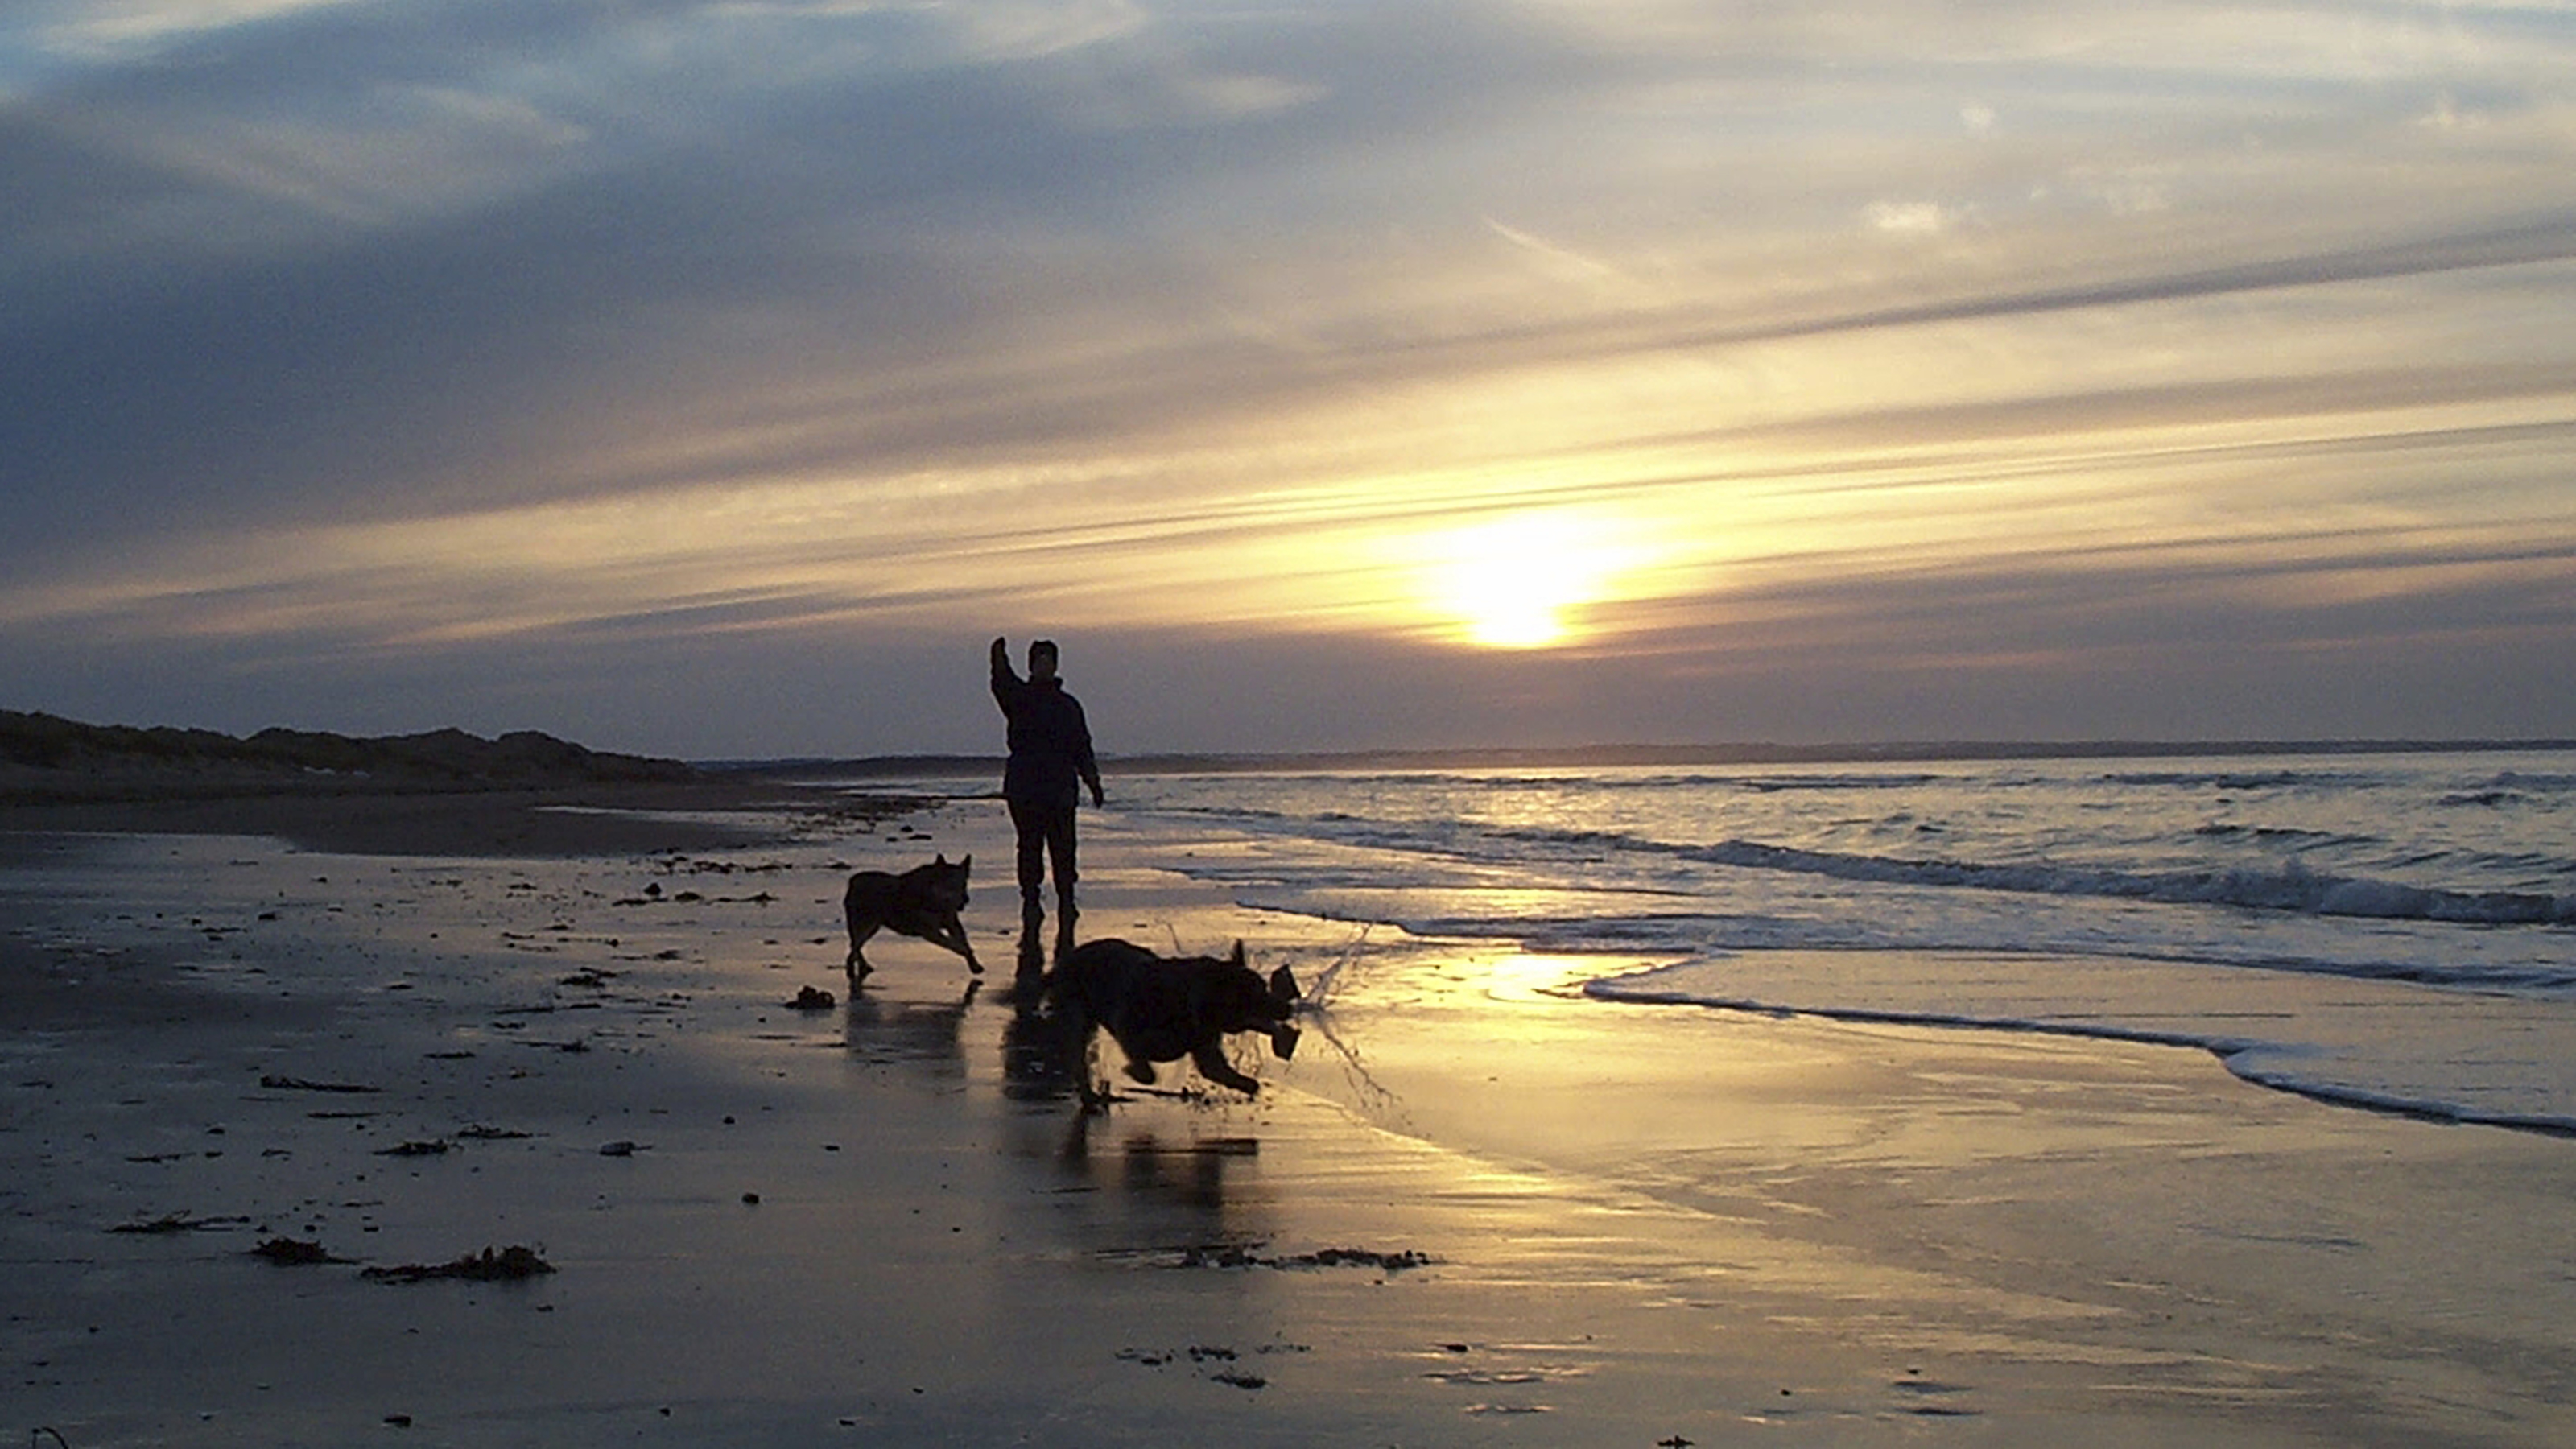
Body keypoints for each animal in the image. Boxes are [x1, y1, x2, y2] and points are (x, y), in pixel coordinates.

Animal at [844, 845, 973, 980]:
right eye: (951, 885)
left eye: (964, 884)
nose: (966, 899)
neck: (935, 898)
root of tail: (853, 881)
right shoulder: (929, 932)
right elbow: (953, 944)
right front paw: (963, 950)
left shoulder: (953, 924)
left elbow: (963, 941)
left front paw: (975, 965)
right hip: (865, 924)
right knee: (855, 945)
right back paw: (853, 967)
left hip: (873, 927)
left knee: (856, 945)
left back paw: (862, 966)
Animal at [1046, 928, 1298, 1098]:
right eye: (1256, 995)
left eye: (1265, 987)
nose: (1288, 1007)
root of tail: (1062, 963)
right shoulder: (1128, 1029)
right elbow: (1146, 1068)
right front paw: (1131, 1071)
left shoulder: (1205, 1047)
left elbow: (1218, 1070)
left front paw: (1248, 1084)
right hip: (1076, 1014)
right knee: (1078, 1057)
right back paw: (1090, 1098)